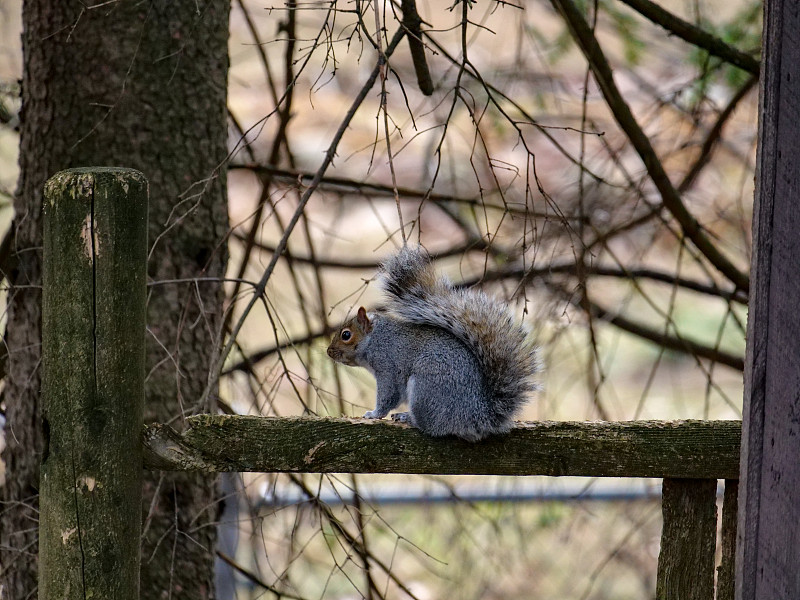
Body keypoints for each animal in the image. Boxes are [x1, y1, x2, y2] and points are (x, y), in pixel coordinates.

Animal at [326, 246, 544, 442]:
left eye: (346, 335)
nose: (329, 352)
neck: (376, 339)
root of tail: (478, 416)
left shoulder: (387, 366)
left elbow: (388, 395)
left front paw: (373, 413)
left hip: (425, 389)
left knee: (432, 427)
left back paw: (408, 417)